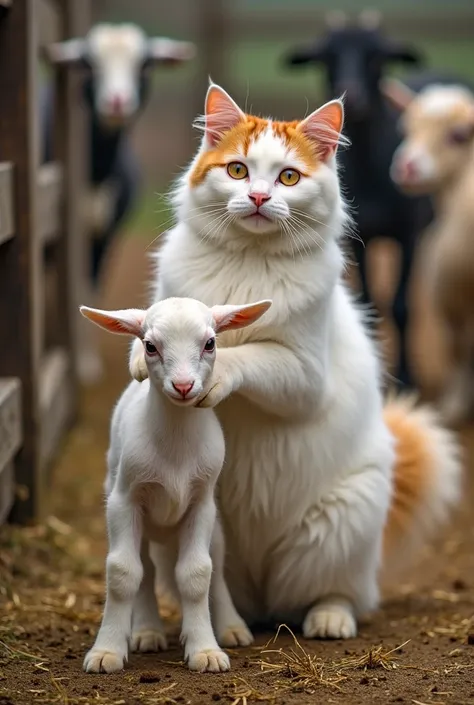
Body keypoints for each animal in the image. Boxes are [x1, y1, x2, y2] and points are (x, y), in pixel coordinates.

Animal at [78, 296, 270, 672]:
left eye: (210, 343)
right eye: (149, 346)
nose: (183, 386)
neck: (176, 449)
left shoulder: (202, 503)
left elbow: (197, 574)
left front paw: (205, 650)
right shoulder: (125, 500)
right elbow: (122, 573)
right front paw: (106, 651)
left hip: (215, 527)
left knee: (217, 568)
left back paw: (231, 627)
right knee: (145, 572)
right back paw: (147, 632)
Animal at [128, 84, 462, 644]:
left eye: (288, 177)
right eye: (238, 170)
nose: (260, 198)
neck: (247, 259)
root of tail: (266, 603)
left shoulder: (305, 377)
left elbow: (248, 354)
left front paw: (212, 368)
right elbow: (154, 320)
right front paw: (139, 354)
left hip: (341, 528)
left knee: (341, 595)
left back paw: (327, 620)